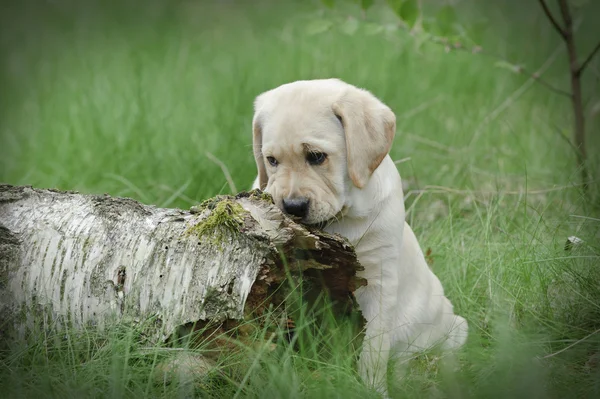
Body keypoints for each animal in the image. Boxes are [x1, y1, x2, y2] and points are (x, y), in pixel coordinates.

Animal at [251, 79, 466, 396]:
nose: (292, 207)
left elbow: (373, 351)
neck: (340, 220)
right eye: (272, 161)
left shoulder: (379, 282)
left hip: (452, 329)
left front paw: (372, 390)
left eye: (316, 156)